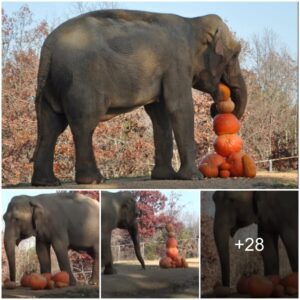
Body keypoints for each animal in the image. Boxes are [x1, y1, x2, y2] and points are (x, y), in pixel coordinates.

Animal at [30, 8, 247, 185]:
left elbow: (159, 113)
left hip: (53, 85)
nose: (216, 107)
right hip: (81, 81)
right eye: (236, 54)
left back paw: (47, 183)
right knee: (84, 125)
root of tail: (48, 47)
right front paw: (194, 177)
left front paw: (163, 177)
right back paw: (94, 180)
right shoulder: (177, 63)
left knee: (51, 128)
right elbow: (179, 107)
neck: (193, 22)